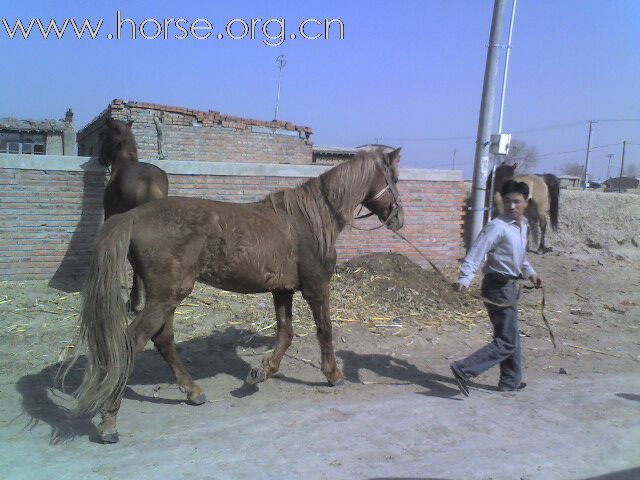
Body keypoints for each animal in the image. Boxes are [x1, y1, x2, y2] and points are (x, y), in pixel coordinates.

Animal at [66, 147, 404, 442]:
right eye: (395, 179)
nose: (399, 219)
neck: (308, 221)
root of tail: (132, 217)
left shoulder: (282, 291)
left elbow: (285, 334)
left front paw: (261, 372)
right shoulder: (316, 287)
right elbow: (325, 331)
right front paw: (333, 374)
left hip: (166, 298)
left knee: (163, 340)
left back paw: (193, 392)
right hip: (165, 297)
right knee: (133, 341)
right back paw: (110, 420)